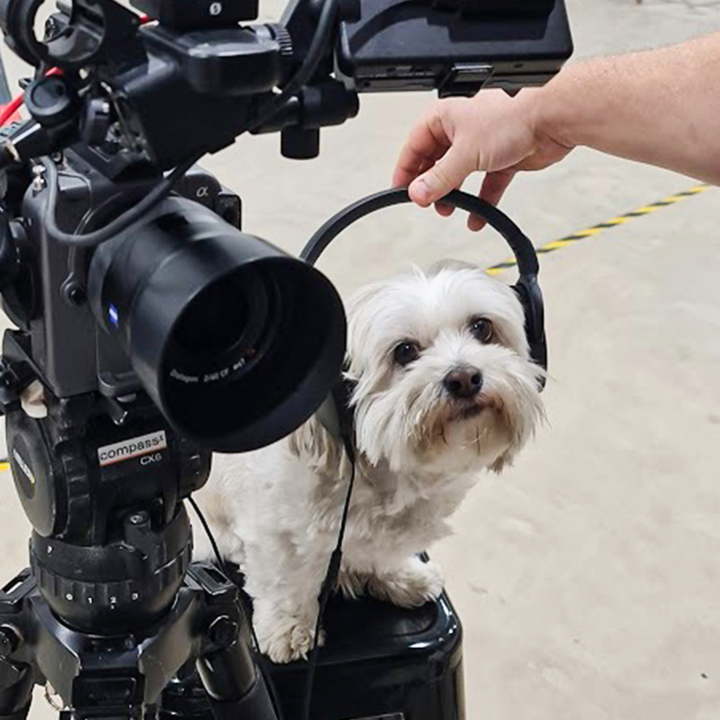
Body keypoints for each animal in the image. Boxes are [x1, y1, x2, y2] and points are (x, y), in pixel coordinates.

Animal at [194, 260, 544, 664]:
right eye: (404, 351)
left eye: (482, 328)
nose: (464, 377)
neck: (374, 471)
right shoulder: (272, 533)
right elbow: (284, 582)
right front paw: (289, 627)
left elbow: (382, 554)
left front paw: (398, 577)